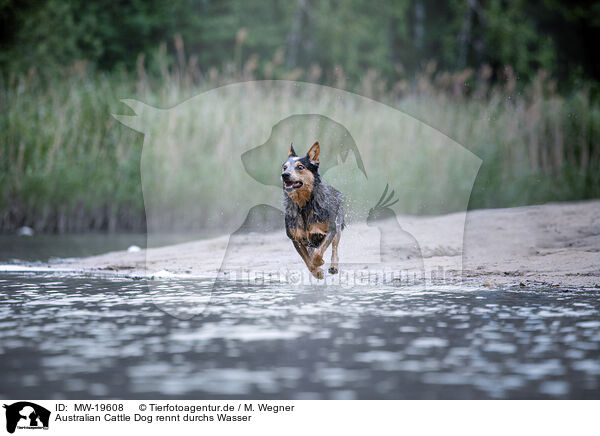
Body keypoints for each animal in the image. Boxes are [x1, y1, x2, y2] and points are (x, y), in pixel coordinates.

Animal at [280, 143, 342, 280]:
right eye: (284, 167)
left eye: (300, 167)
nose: (285, 175)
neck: (304, 205)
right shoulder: (296, 238)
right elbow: (307, 260)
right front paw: (316, 272)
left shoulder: (330, 229)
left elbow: (318, 253)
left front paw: (319, 262)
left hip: (338, 224)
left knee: (335, 247)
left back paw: (333, 267)